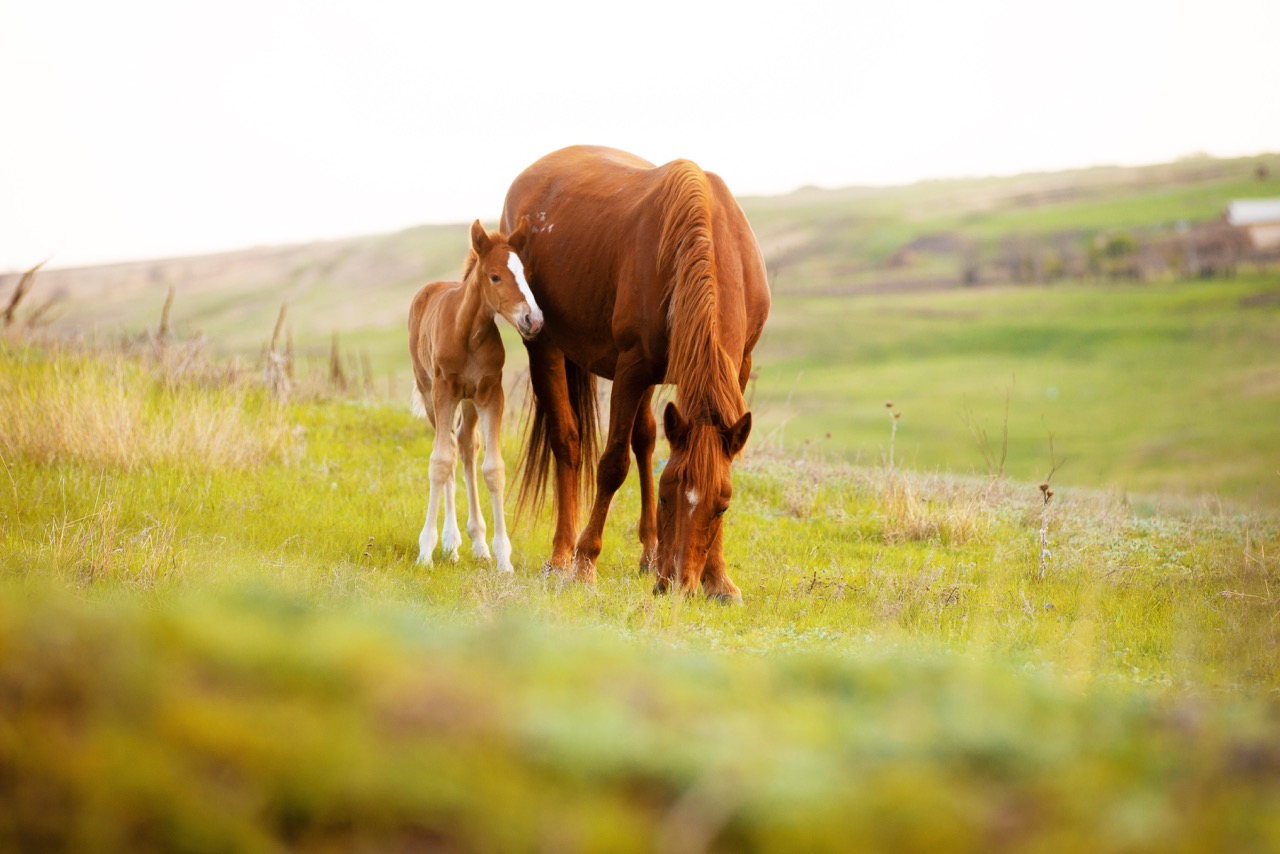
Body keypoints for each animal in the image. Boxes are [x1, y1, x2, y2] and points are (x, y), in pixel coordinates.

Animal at [408, 217, 542, 572]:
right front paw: (425, 552)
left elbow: (493, 469)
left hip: (468, 402)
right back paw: (450, 543)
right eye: (495, 276)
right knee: (452, 451)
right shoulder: (443, 391)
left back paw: (477, 542)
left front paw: (503, 558)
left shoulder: (490, 393)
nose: (534, 320)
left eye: (526, 273)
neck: (467, 333)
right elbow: (440, 462)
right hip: (429, 391)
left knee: (466, 447)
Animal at [501, 145, 770, 601]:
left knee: (644, 438)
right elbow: (612, 464)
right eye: (666, 498)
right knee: (567, 442)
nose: (679, 585)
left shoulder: (737, 367)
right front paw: (585, 564)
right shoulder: (631, 368)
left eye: (722, 508)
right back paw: (561, 555)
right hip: (544, 345)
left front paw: (719, 580)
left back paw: (648, 554)